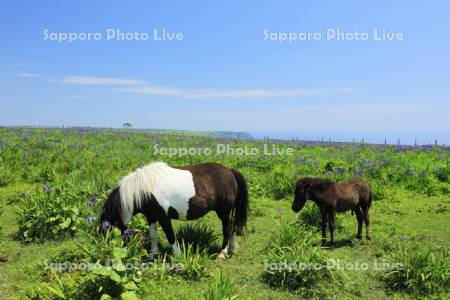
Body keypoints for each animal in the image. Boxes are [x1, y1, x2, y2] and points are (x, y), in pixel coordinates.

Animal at [99, 162, 250, 258]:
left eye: (105, 229)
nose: (104, 251)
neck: (144, 189)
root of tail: (230, 171)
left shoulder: (164, 217)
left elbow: (170, 236)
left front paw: (178, 255)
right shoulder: (151, 216)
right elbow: (153, 235)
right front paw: (153, 254)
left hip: (223, 211)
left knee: (227, 228)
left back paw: (222, 253)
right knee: (231, 227)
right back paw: (232, 249)